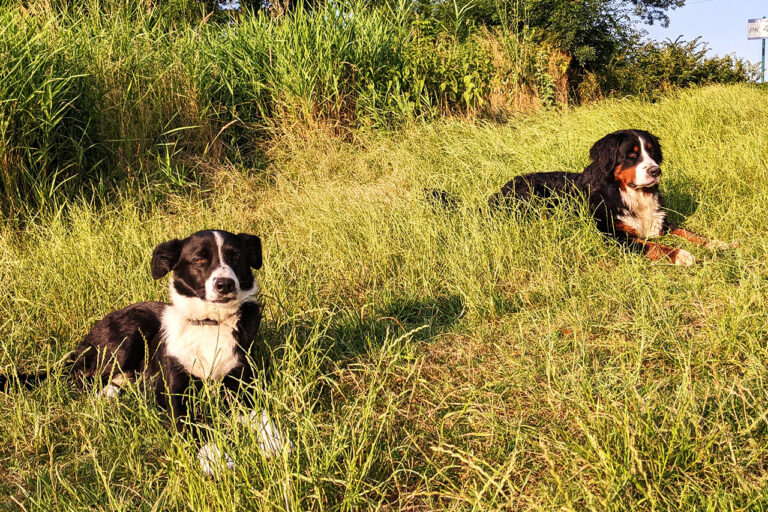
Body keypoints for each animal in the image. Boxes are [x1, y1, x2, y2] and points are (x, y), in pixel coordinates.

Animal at [3, 230, 288, 474]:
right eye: (199, 259)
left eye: (236, 256)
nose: (225, 284)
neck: (210, 323)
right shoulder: (174, 397)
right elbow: (196, 428)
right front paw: (215, 458)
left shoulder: (242, 385)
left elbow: (262, 414)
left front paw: (275, 442)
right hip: (131, 329)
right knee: (79, 377)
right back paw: (105, 395)